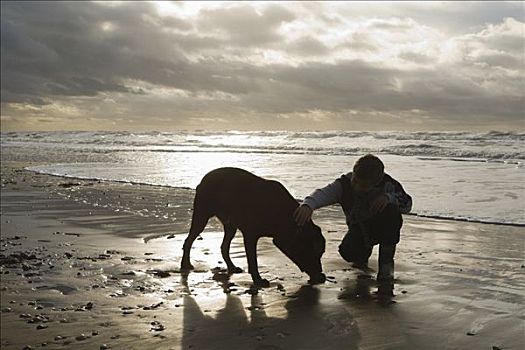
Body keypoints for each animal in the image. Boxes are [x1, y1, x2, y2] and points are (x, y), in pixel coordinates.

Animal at [182, 167, 326, 288]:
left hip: (230, 224)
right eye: (316, 253)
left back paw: (231, 267)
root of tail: (202, 181)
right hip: (202, 215)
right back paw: (185, 264)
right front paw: (258, 280)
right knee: (189, 240)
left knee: (224, 246)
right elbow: (253, 261)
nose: (322, 276)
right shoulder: (250, 235)